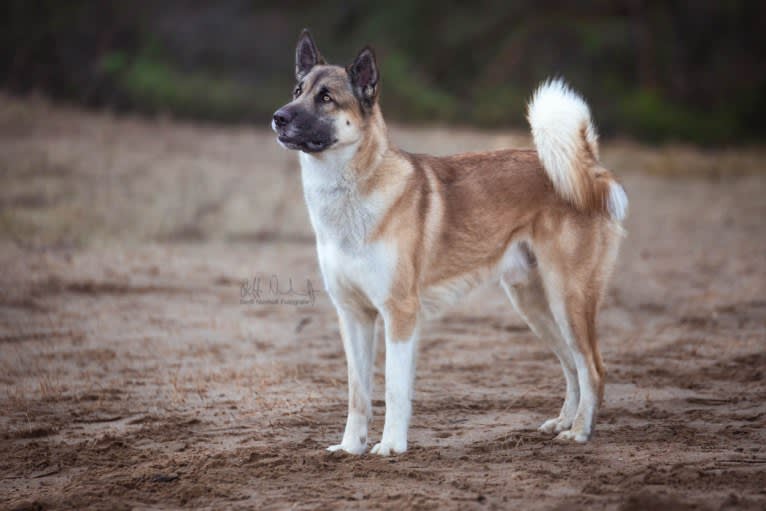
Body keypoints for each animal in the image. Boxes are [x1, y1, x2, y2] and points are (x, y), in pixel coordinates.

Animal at [272, 31, 628, 456]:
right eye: (297, 91)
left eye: (326, 98)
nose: (278, 117)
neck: (351, 193)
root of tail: (589, 167)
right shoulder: (353, 315)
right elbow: (358, 394)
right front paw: (350, 447)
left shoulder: (400, 314)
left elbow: (394, 390)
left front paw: (391, 446)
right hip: (534, 304)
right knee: (572, 366)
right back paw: (563, 422)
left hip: (568, 299)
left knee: (593, 369)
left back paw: (579, 431)